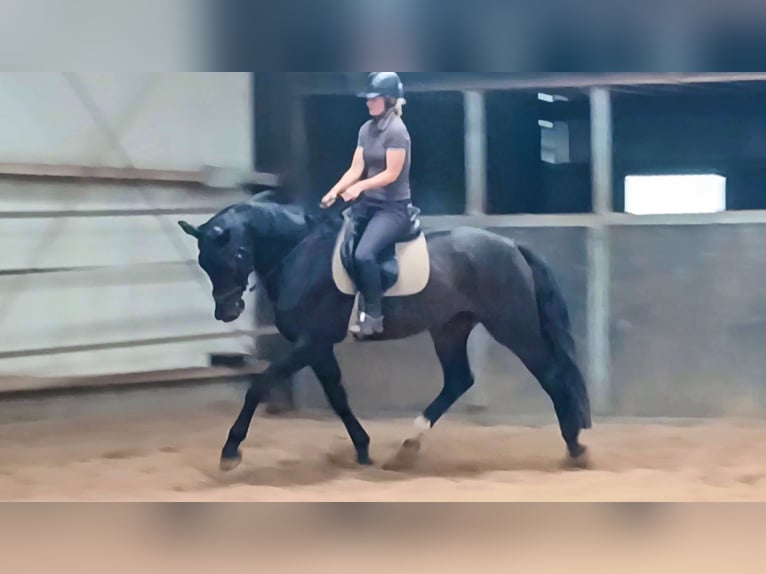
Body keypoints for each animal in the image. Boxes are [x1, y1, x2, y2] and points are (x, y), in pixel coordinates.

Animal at [178, 190, 592, 472]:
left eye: (234, 255)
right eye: (203, 261)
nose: (227, 311)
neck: (300, 254)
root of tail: (511, 245)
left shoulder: (309, 343)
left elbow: (258, 387)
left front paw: (230, 451)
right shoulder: (319, 347)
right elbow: (338, 398)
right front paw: (363, 450)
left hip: (513, 326)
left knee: (551, 375)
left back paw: (575, 450)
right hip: (450, 328)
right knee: (459, 379)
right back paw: (408, 445)